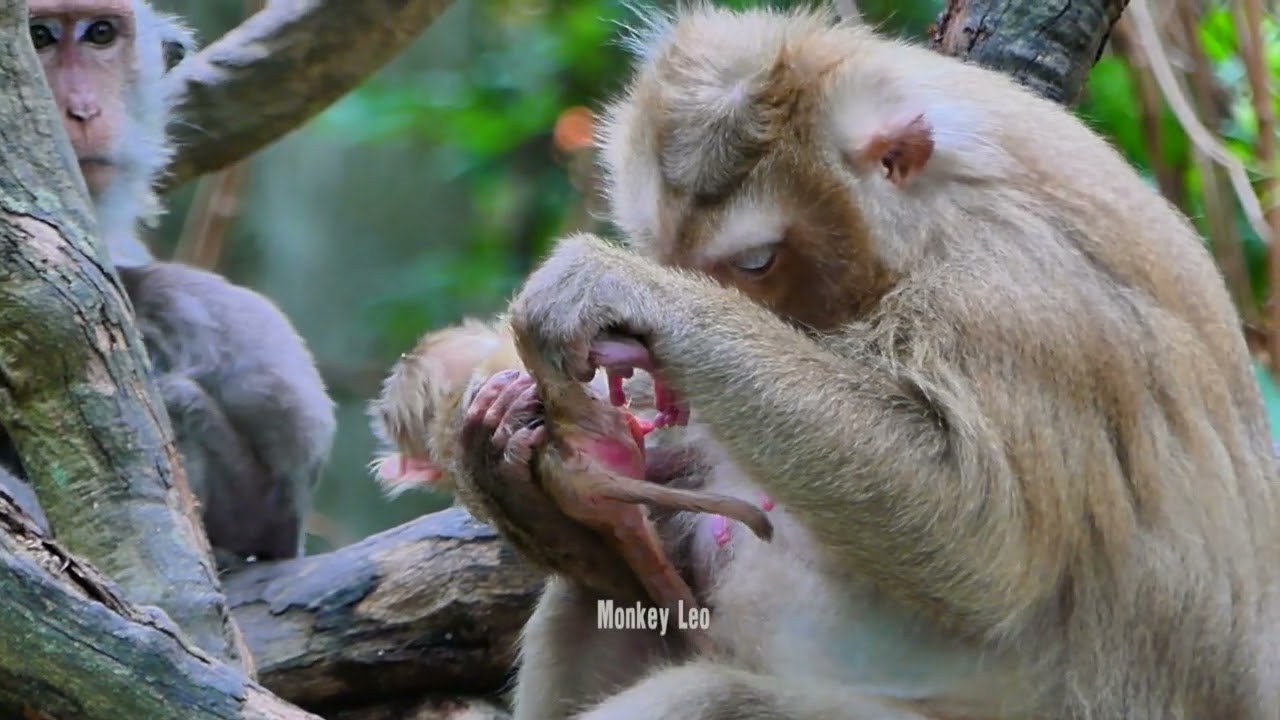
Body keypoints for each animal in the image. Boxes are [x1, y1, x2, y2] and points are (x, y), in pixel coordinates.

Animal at [452, 5, 1280, 719]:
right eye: (671, 252)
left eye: (754, 263)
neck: (928, 225)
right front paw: (507, 451)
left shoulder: (1018, 300)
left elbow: (981, 538)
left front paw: (627, 293)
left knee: (709, 699)